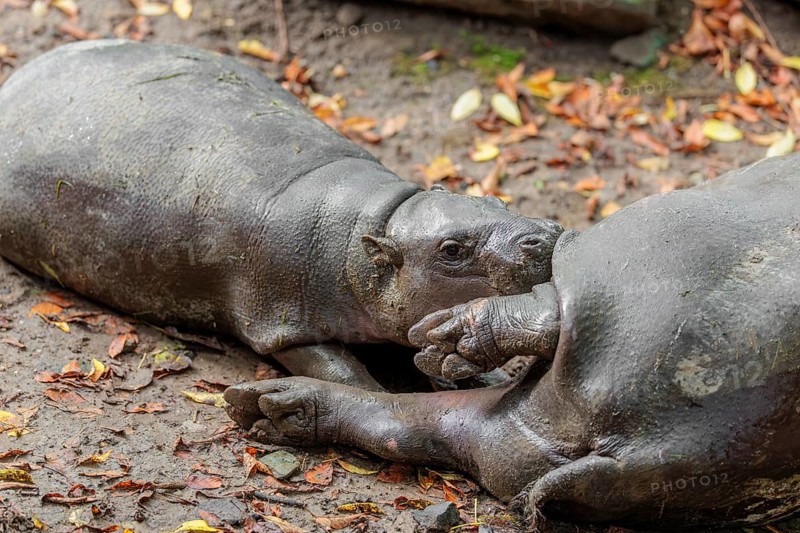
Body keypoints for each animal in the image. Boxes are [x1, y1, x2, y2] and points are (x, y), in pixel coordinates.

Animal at [0, 40, 563, 391]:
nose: (544, 234)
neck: (373, 226)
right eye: (451, 249)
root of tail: (16, 80)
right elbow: (344, 375)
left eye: (496, 200)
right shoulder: (281, 321)